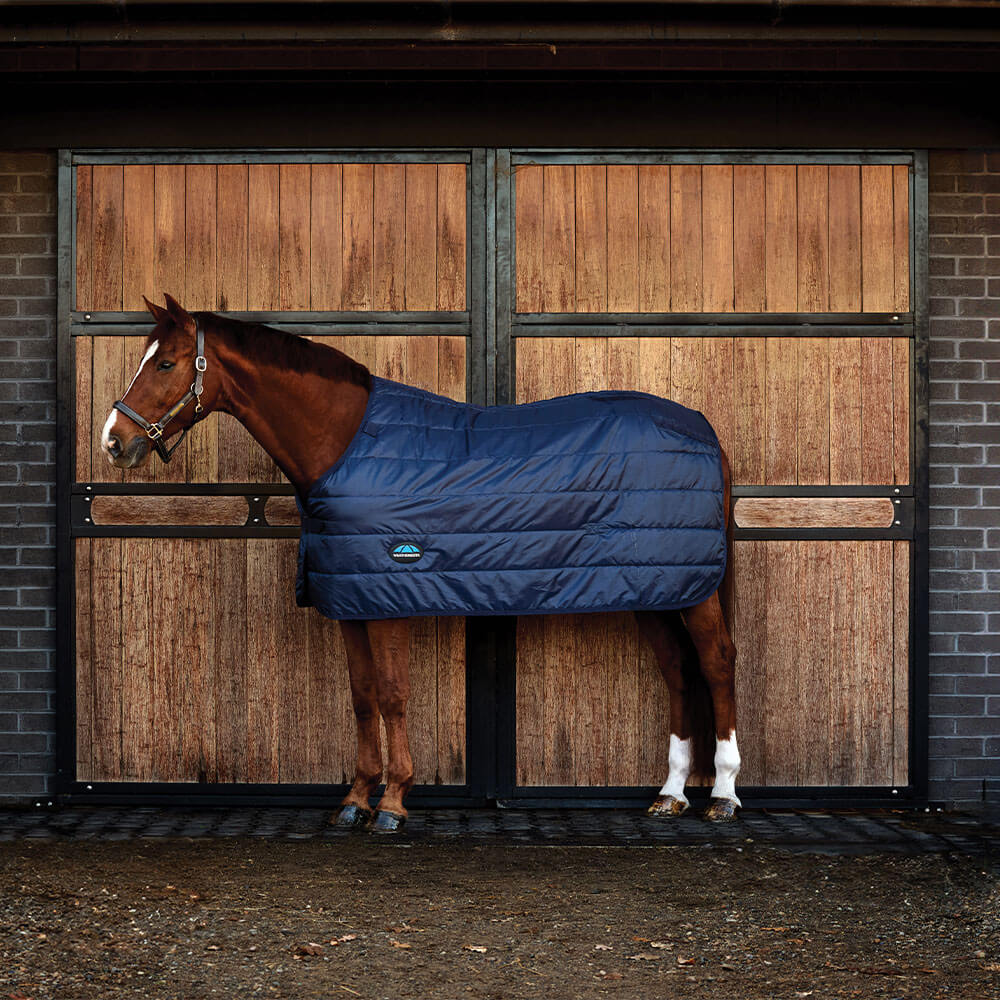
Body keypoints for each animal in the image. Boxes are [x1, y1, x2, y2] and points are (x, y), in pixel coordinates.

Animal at [100, 294, 742, 831]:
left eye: (166, 364)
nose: (112, 441)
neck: (346, 445)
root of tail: (704, 430)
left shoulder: (389, 594)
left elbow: (391, 694)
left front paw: (393, 802)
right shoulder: (351, 598)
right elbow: (362, 696)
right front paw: (355, 800)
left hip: (694, 591)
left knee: (715, 663)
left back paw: (723, 795)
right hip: (653, 588)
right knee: (677, 670)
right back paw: (670, 794)